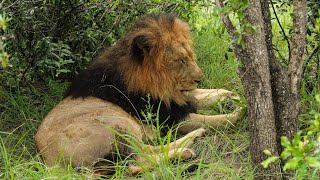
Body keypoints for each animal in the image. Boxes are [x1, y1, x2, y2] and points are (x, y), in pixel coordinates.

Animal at [35, 14, 240, 176]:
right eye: (180, 60)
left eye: (190, 56)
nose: (199, 78)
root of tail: (51, 163)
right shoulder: (170, 118)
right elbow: (216, 120)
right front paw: (240, 113)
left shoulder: (177, 100)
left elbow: (207, 94)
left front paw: (233, 97)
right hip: (115, 124)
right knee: (138, 160)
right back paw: (187, 149)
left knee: (140, 157)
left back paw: (191, 141)